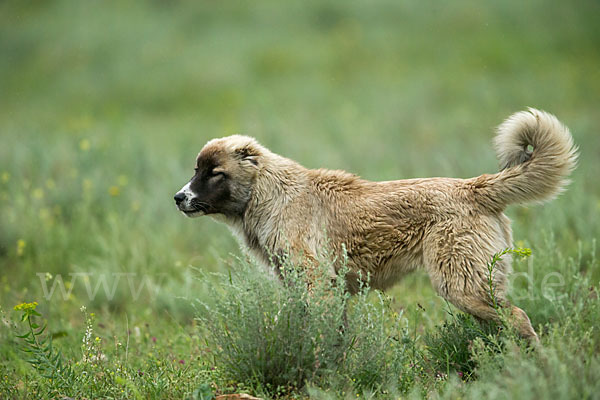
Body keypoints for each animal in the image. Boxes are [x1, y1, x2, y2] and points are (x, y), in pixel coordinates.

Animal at [175, 108, 576, 342]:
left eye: (214, 173)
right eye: (196, 169)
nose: (178, 197)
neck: (268, 193)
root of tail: (472, 187)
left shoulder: (317, 282)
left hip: (461, 284)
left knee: (518, 317)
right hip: (474, 288)